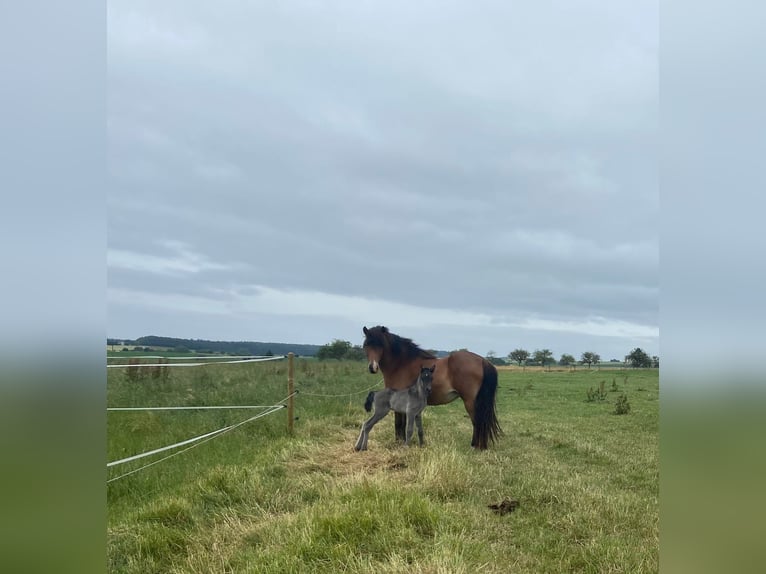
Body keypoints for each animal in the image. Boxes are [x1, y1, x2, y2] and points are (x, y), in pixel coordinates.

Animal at [362, 325, 501, 449]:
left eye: (380, 345)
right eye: (367, 345)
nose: (372, 367)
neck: (401, 364)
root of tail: (483, 361)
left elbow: (399, 423)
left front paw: (398, 442)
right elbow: (401, 423)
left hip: (470, 401)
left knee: (477, 422)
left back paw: (475, 446)